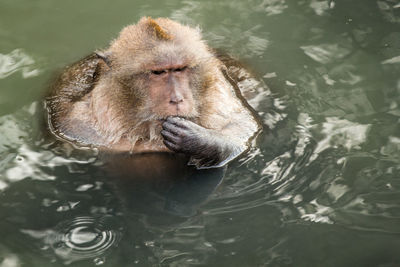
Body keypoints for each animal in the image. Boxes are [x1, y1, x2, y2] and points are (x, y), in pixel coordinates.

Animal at [46, 17, 260, 170]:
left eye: (180, 69)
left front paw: (201, 140)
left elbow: (243, 128)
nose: (177, 98)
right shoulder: (80, 126)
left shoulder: (221, 94)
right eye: (158, 72)